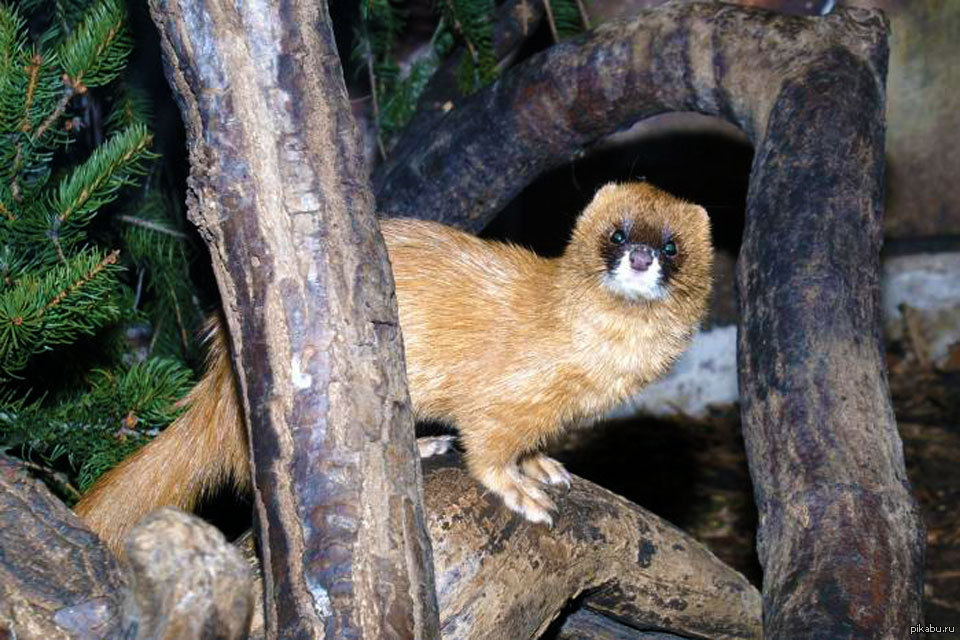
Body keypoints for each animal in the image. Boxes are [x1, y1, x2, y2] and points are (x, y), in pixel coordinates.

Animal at [77, 182, 712, 552]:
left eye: (672, 245)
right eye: (618, 233)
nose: (641, 256)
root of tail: (217, 377)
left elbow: (527, 443)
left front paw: (545, 465)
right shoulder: (502, 397)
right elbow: (487, 449)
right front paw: (522, 491)